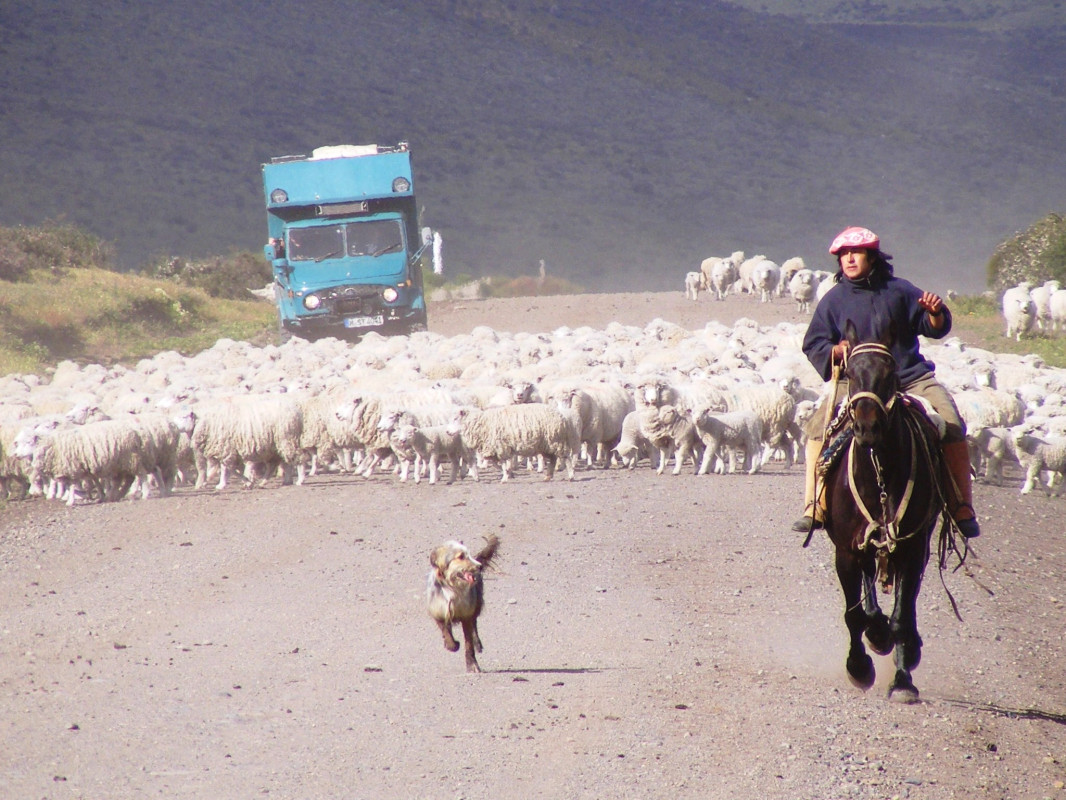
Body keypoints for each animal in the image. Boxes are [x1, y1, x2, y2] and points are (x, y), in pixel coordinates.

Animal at [424, 535, 498, 674]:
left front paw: (472, 665)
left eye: (469, 555)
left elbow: (468, 644)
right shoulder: (438, 613)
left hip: (476, 604)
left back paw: (477, 643)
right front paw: (451, 644)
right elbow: (446, 632)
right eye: (461, 557)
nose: (479, 566)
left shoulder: (466, 616)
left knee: (474, 625)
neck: (453, 589)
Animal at [818, 322, 946, 704]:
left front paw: (903, 681)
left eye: (890, 374)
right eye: (849, 373)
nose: (867, 428)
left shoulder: (911, 547)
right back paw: (877, 634)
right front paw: (859, 666)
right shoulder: (846, 550)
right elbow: (854, 613)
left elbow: (902, 615)